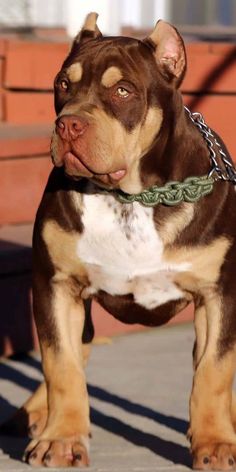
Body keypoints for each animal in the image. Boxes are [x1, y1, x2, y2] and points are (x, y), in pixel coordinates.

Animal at [4, 12, 236, 470]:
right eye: (62, 84)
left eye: (122, 90)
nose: (68, 124)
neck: (132, 197)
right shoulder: (56, 287)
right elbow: (61, 364)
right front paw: (61, 437)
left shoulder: (217, 295)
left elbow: (214, 371)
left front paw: (216, 442)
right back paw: (37, 410)